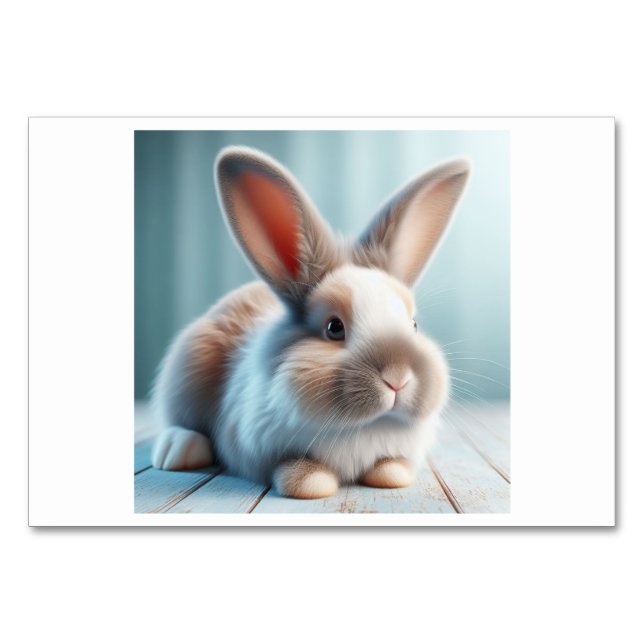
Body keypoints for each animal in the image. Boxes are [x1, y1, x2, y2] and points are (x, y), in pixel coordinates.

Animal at [151, 145, 470, 499]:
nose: (398, 378)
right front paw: (310, 483)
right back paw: (178, 449)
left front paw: (393, 474)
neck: (363, 427)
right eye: (334, 328)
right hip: (186, 374)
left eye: (413, 325)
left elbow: (391, 464)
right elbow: (294, 467)